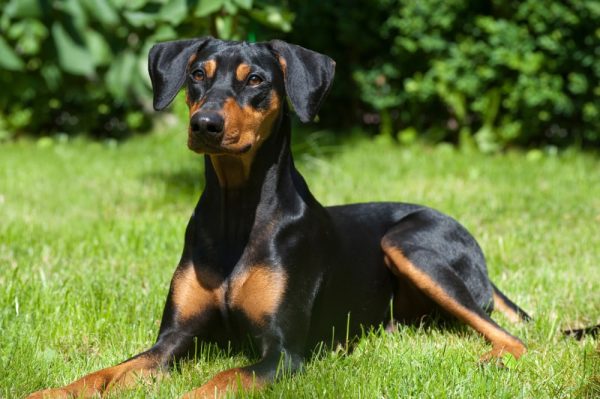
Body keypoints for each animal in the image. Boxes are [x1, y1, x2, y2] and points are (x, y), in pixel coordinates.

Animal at [27, 37, 528, 399]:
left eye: (255, 80)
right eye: (197, 74)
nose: (205, 125)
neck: (236, 211)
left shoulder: (282, 352)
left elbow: (219, 380)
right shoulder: (174, 339)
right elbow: (105, 372)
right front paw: (49, 392)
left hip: (407, 243)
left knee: (516, 338)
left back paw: (493, 359)